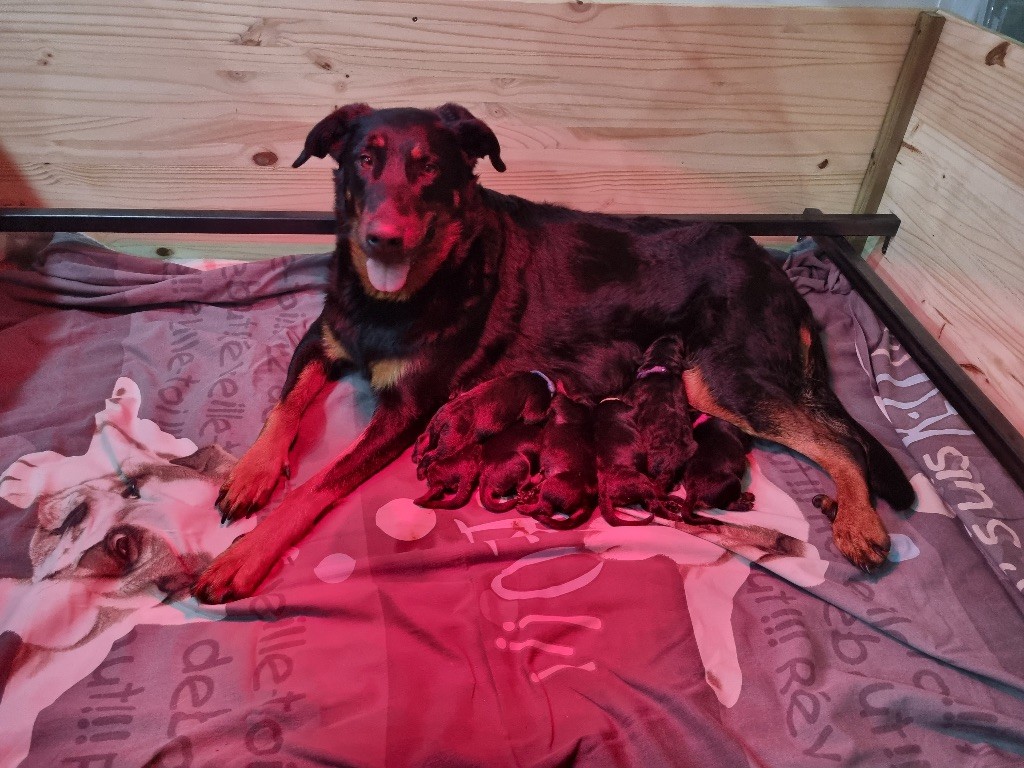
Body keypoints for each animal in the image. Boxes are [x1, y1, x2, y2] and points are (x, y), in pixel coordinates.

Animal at [192, 103, 913, 606]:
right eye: (364, 161)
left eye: (429, 168)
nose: (382, 239)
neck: (395, 297)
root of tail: (779, 274)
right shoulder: (324, 339)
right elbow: (284, 407)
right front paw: (252, 472)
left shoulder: (404, 410)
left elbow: (317, 485)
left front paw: (244, 555)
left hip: (725, 378)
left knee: (840, 440)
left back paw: (860, 523)